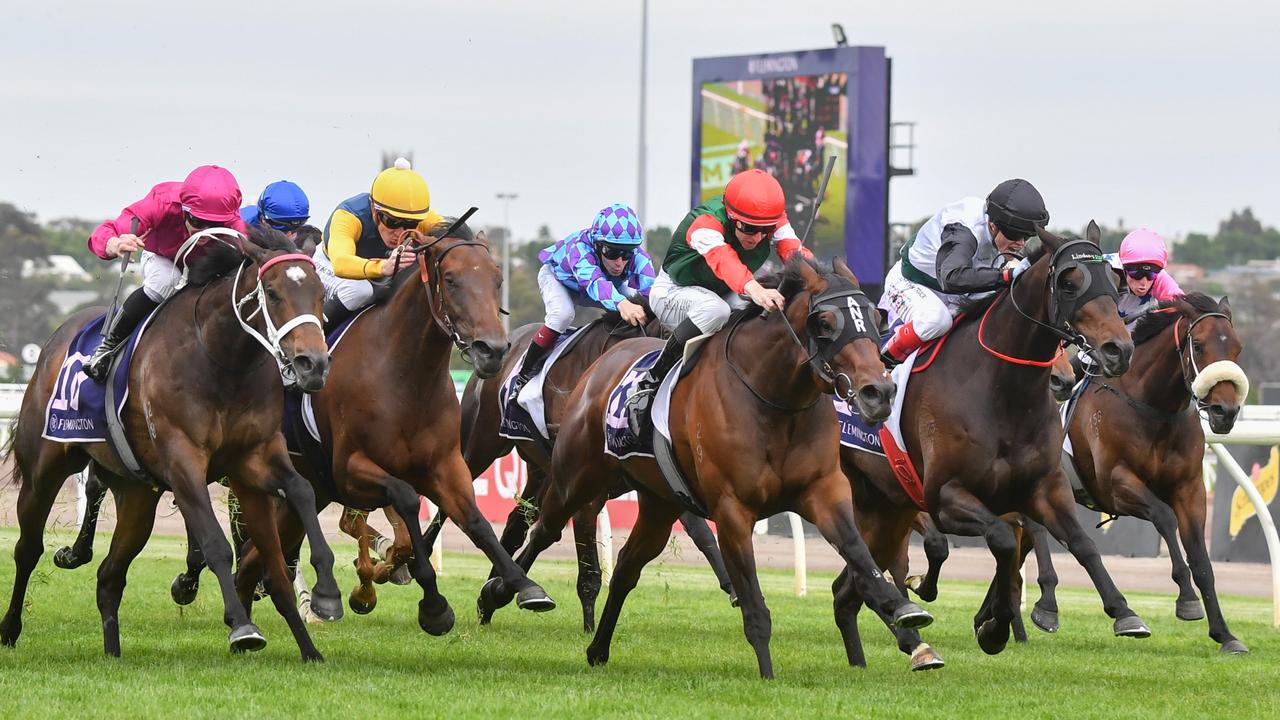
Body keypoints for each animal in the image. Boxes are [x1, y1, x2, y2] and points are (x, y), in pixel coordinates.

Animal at [0, 226, 343, 661]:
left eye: (319, 293)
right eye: (274, 292)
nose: (313, 364)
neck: (221, 358)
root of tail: (57, 338)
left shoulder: (254, 456)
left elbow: (298, 499)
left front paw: (320, 614)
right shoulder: (184, 461)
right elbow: (216, 543)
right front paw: (242, 626)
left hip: (136, 495)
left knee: (109, 575)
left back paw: (113, 653)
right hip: (43, 470)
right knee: (28, 550)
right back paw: (10, 628)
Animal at [236, 215, 555, 630]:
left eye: (497, 279)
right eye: (450, 278)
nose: (494, 351)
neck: (404, 378)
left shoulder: (446, 465)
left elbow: (475, 521)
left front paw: (522, 585)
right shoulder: (350, 471)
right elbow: (405, 501)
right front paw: (430, 603)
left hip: (310, 490)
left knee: (253, 557)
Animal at [481, 258, 942, 676]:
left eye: (877, 318)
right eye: (825, 322)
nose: (878, 392)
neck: (774, 400)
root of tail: (603, 364)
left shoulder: (824, 491)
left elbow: (859, 553)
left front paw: (903, 611)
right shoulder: (732, 508)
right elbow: (754, 603)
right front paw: (767, 674)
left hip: (659, 502)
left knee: (627, 566)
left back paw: (597, 648)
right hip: (576, 478)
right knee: (544, 529)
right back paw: (505, 593)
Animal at [839, 222, 1152, 655]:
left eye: (1115, 279)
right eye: (1069, 281)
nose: (1118, 349)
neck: (1001, 391)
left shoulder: (1044, 487)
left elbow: (1081, 543)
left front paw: (1124, 612)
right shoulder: (945, 495)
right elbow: (1002, 541)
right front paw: (995, 626)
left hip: (888, 506)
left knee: (850, 586)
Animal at [1003, 289, 1244, 650]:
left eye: (1237, 348)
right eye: (1199, 345)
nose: (1225, 412)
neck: (1153, 408)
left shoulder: (1190, 489)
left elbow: (1202, 559)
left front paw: (1224, 634)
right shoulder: (1116, 484)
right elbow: (1164, 517)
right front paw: (1186, 599)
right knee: (1037, 529)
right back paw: (1047, 605)